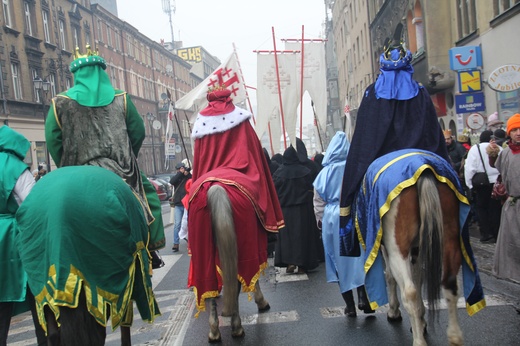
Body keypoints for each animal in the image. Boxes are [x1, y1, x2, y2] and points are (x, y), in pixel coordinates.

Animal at [354, 149, 484, 346]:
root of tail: (425, 170)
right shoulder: (418, 249)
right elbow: (419, 277)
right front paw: (421, 320)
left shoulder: (390, 250)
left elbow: (392, 277)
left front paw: (395, 312)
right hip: (449, 240)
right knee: (449, 284)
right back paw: (454, 337)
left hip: (398, 249)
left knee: (410, 292)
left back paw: (419, 340)